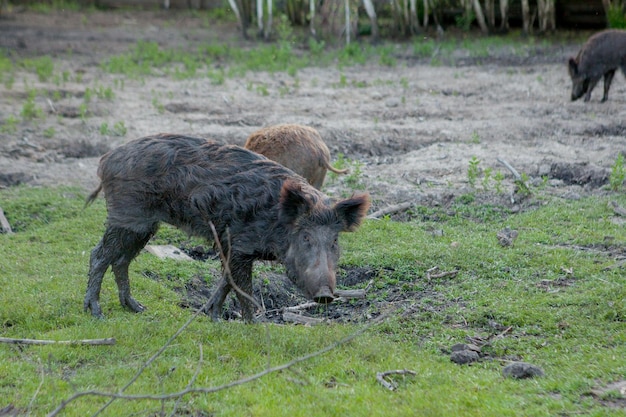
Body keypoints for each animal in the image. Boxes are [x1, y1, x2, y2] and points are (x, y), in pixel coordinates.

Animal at [82, 133, 366, 322]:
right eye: (305, 237)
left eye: (334, 241)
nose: (325, 295)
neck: (276, 222)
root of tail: (106, 160)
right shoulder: (240, 245)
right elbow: (242, 288)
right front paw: (254, 324)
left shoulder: (230, 246)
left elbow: (226, 281)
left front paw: (213, 317)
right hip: (127, 217)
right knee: (99, 255)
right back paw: (96, 313)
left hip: (144, 226)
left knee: (121, 261)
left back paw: (137, 308)